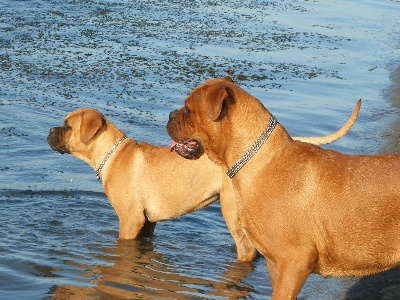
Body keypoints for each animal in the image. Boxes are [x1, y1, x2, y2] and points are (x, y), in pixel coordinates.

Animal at [47, 106, 360, 262]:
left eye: (67, 125)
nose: (49, 131)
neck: (112, 153)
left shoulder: (130, 219)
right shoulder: (147, 223)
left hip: (231, 209)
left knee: (247, 250)